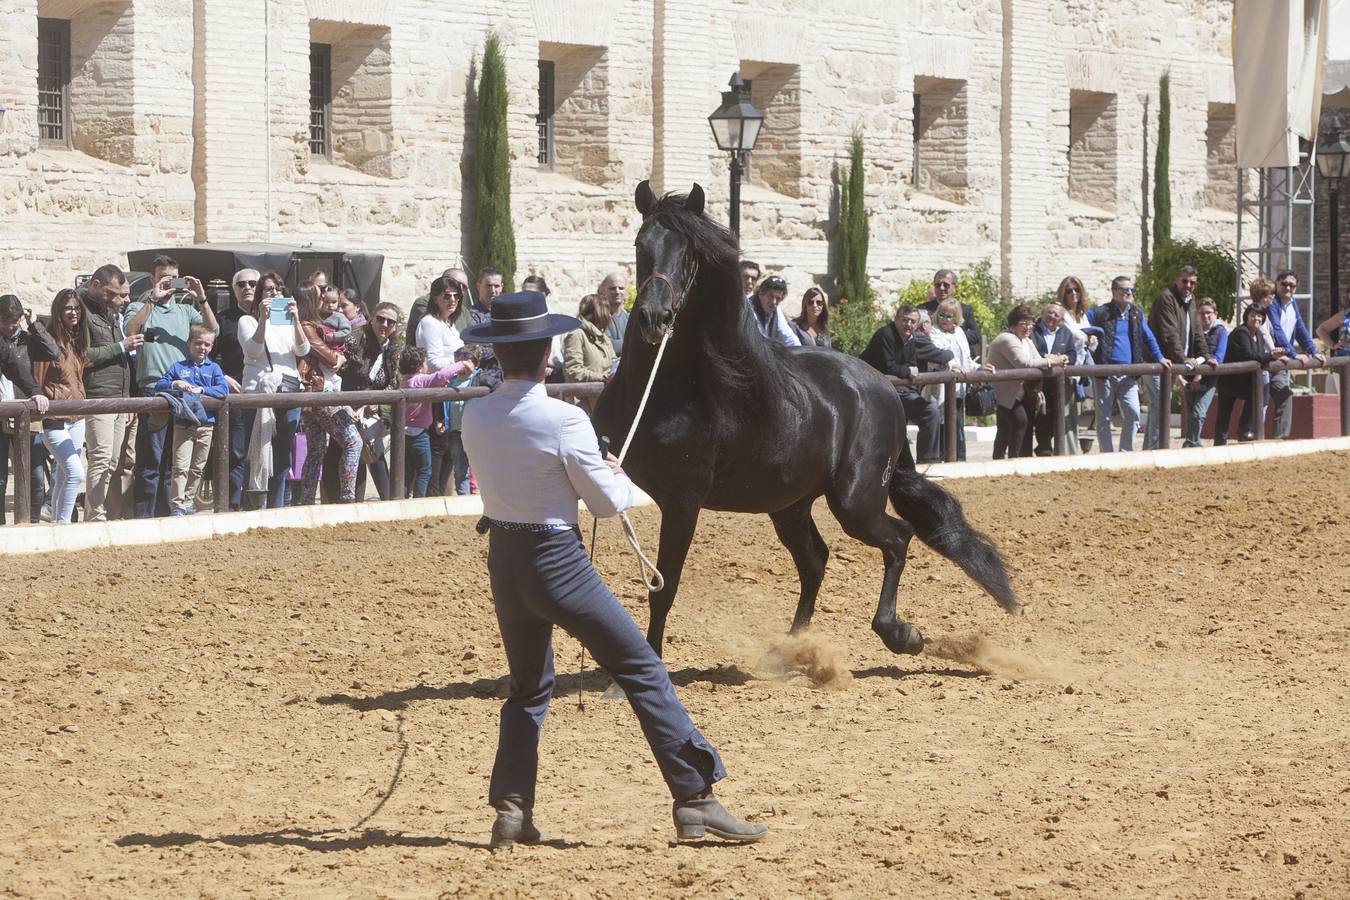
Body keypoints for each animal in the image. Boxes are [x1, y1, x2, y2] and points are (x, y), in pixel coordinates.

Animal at [596, 184, 1015, 661]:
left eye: (691, 254)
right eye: (640, 245)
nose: (653, 318)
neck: (665, 390)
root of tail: (884, 387)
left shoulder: (683, 500)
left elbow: (664, 588)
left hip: (854, 502)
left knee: (897, 537)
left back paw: (899, 634)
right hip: (789, 504)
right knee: (816, 559)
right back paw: (790, 652)